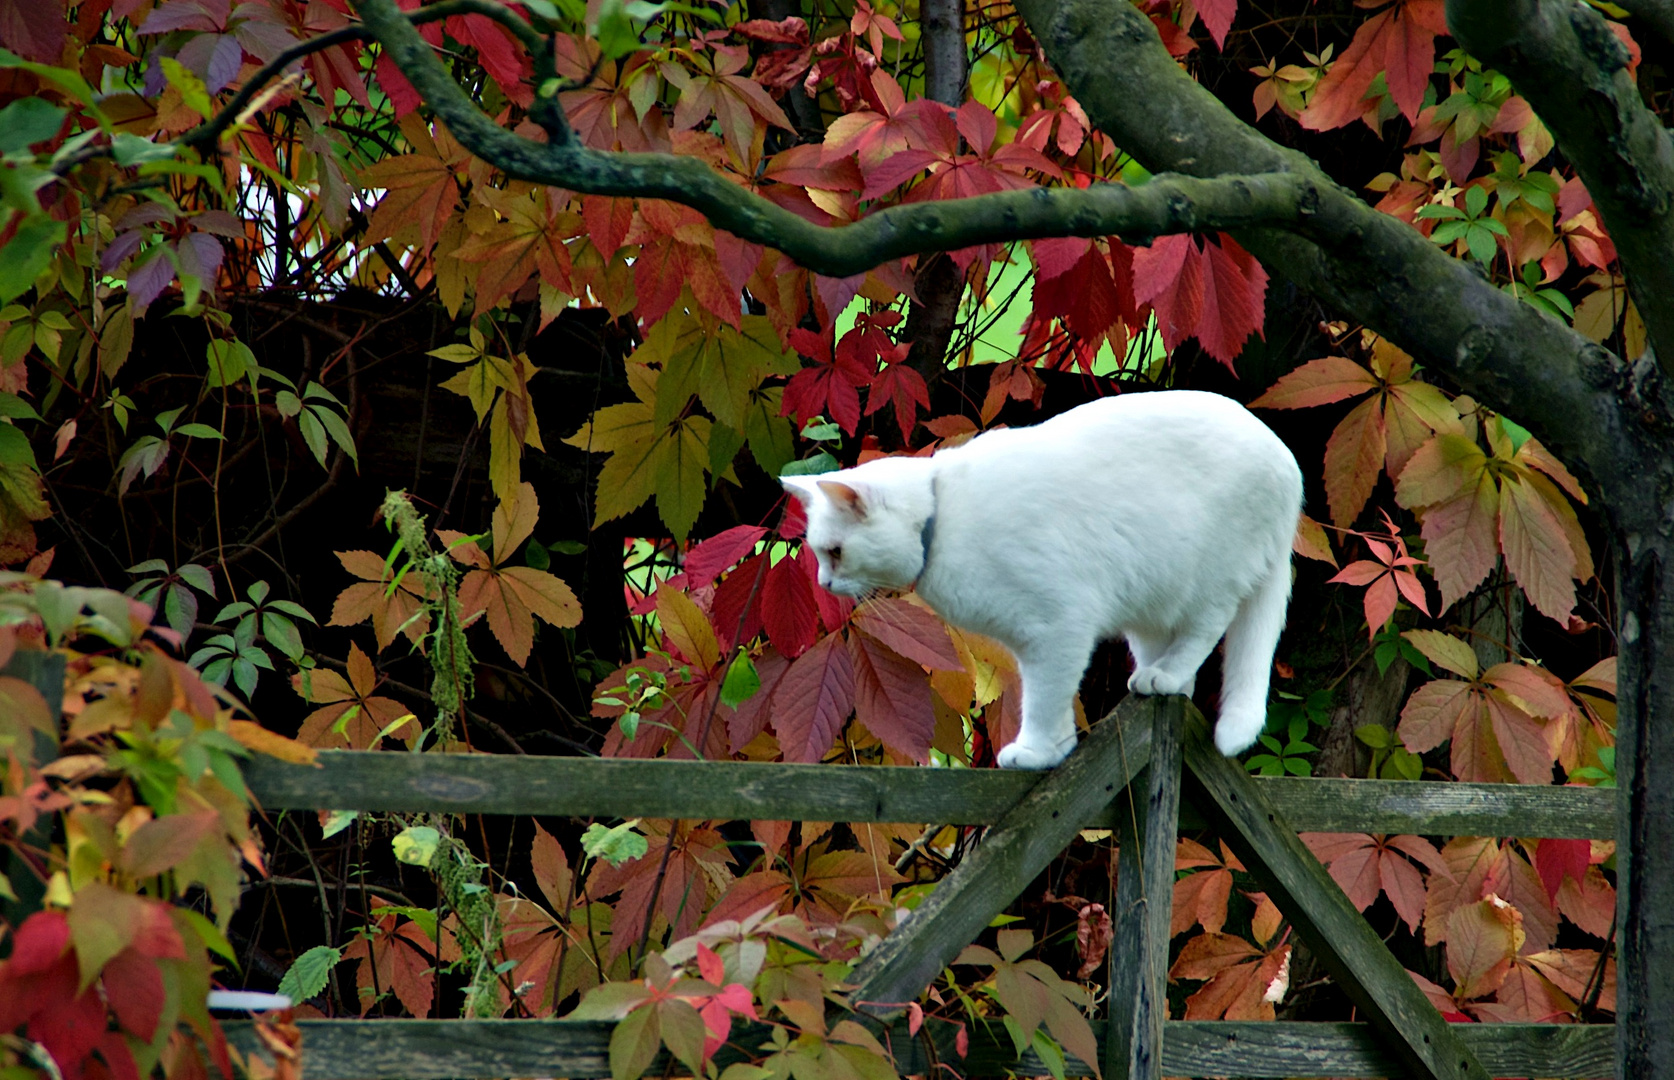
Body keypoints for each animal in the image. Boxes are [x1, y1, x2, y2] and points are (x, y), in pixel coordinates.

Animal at [783, 391, 1305, 763]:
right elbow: (1046, 697)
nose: (825, 584)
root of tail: (1286, 460)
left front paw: (1035, 751)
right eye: (818, 555)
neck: (942, 516)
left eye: (835, 553)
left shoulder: (1058, 629)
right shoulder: (1035, 641)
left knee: (1208, 627)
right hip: (1148, 600)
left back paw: (1168, 674)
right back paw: (1166, 680)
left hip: (1209, 579)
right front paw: (1053, 748)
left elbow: (1044, 697)